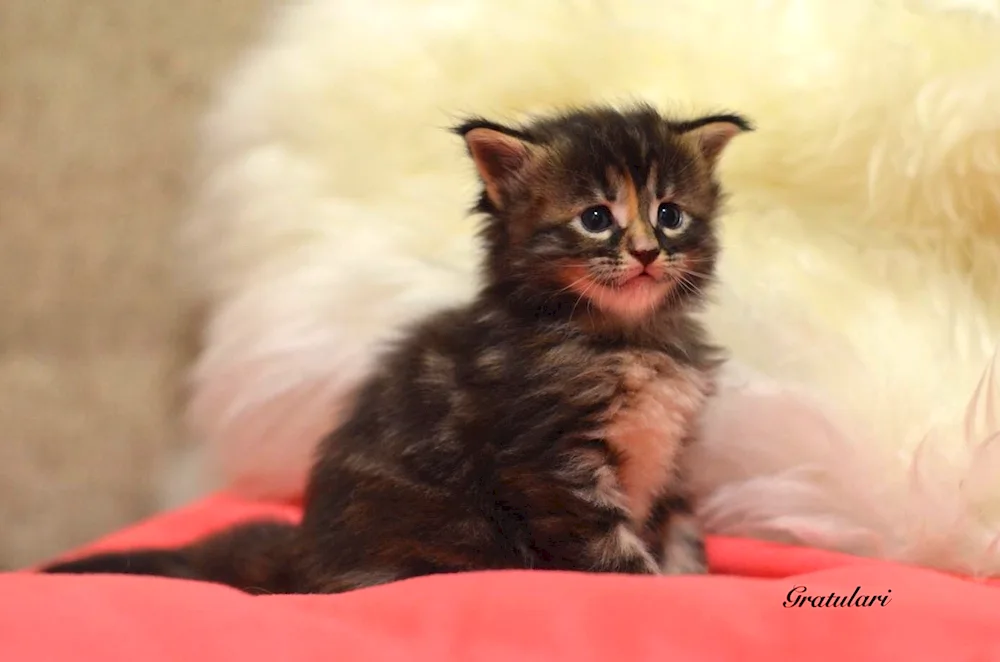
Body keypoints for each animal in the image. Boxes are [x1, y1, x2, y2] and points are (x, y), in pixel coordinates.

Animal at [45, 105, 752, 596]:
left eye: (669, 214)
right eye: (596, 218)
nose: (647, 252)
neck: (629, 339)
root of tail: (304, 555)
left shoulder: (669, 459)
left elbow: (681, 534)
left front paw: (692, 585)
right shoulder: (553, 467)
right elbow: (615, 553)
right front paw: (657, 592)